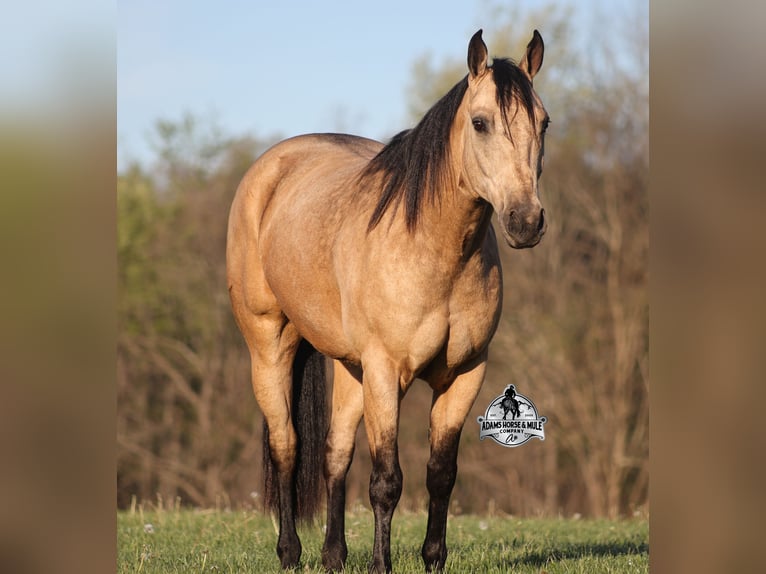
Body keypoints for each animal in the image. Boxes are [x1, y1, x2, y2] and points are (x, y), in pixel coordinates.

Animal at [226, 29, 549, 573]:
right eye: (480, 122)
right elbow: (386, 481)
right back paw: (289, 552)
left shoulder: (465, 374)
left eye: (544, 122)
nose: (526, 221)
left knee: (334, 454)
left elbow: (440, 473)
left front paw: (433, 559)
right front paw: (382, 563)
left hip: (349, 366)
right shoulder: (385, 371)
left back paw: (334, 556)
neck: (433, 248)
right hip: (270, 346)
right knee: (287, 446)